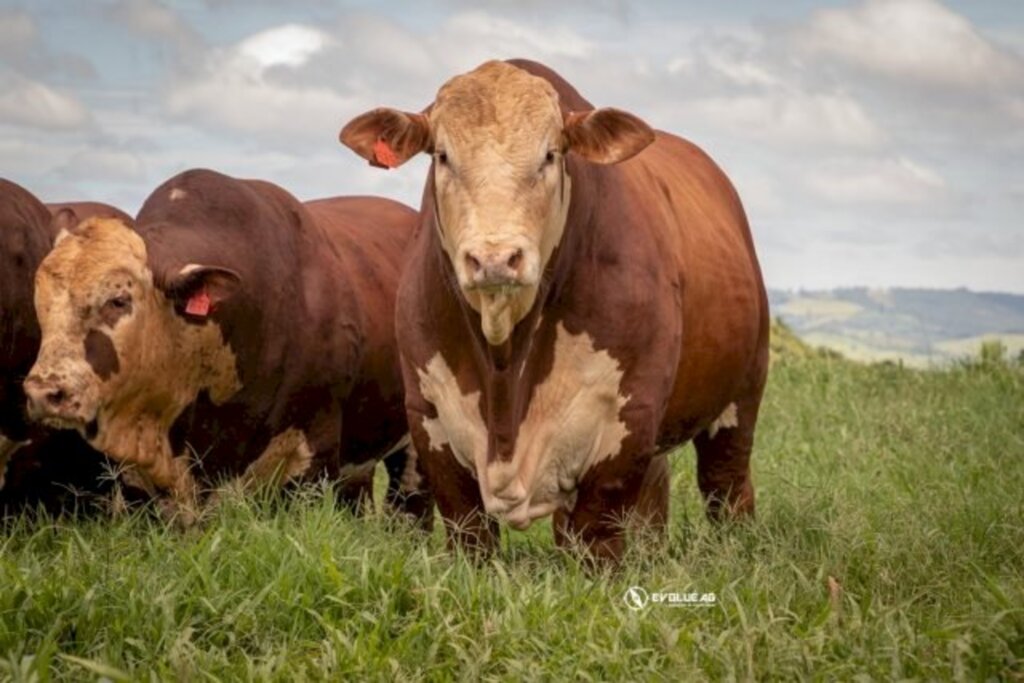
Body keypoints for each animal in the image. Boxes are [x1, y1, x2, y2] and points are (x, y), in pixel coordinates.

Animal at [337, 57, 770, 561]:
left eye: (549, 155)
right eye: (442, 155)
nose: (495, 258)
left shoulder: (627, 420)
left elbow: (596, 536)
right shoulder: (430, 419)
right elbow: (470, 534)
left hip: (742, 397)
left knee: (726, 486)